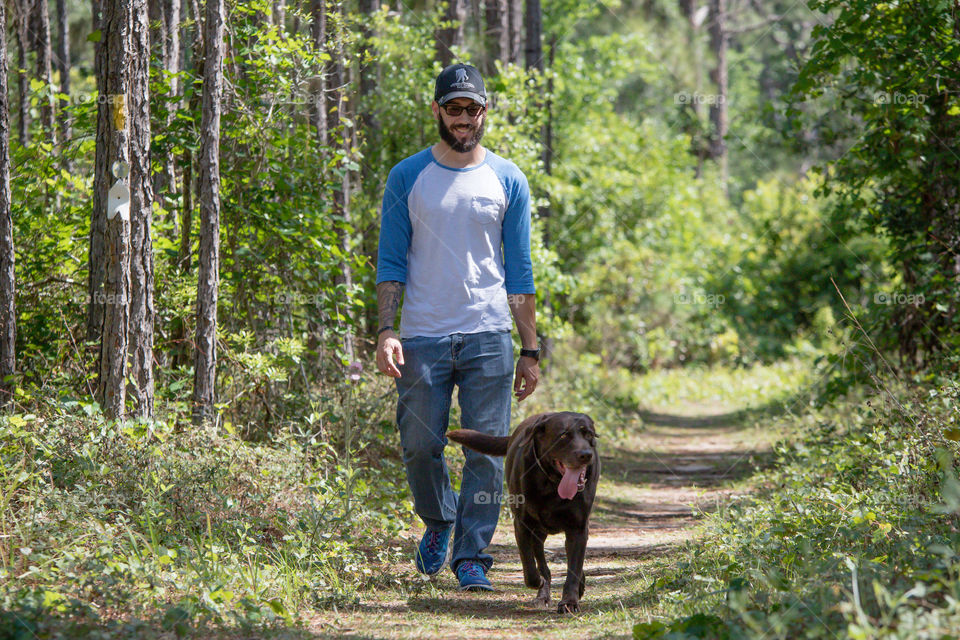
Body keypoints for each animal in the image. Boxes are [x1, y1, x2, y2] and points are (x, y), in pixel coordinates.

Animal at [444, 412, 596, 612]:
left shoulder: (578, 528)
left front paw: (569, 602)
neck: (553, 484)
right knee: (542, 564)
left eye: (588, 434)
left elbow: (574, 568)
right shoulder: (522, 525)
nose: (586, 454)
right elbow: (530, 569)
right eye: (563, 435)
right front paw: (540, 582)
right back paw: (543, 594)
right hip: (538, 534)